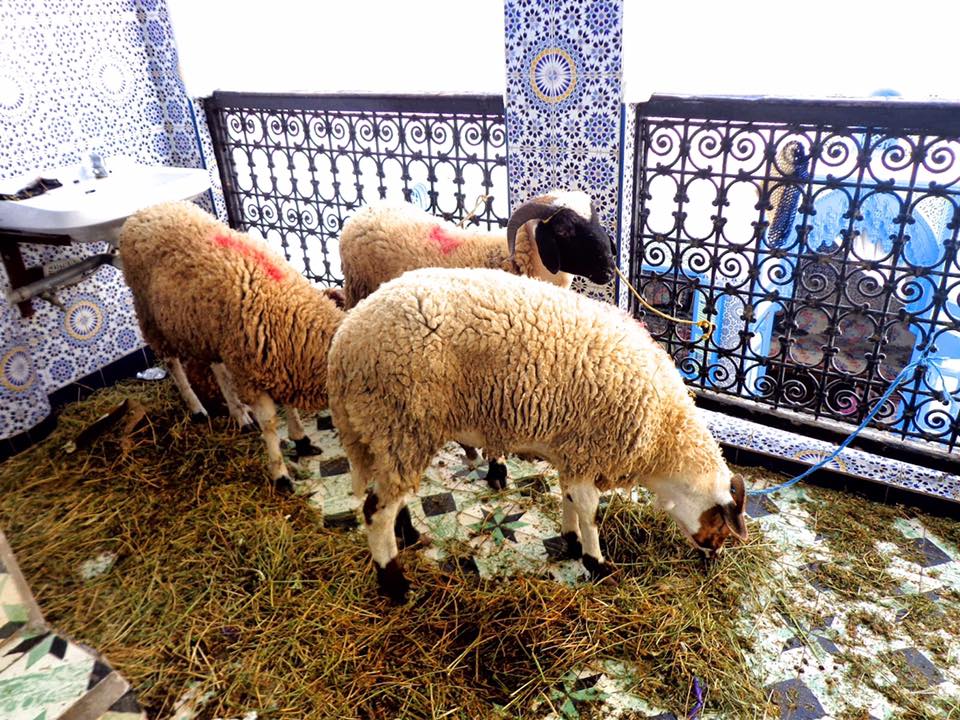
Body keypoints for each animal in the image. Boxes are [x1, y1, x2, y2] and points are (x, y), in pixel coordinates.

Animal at [119, 202, 344, 496]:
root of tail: (142, 212)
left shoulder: (279, 360)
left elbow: (288, 404)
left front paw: (301, 439)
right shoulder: (254, 372)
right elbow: (270, 423)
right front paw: (280, 475)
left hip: (210, 333)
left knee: (218, 369)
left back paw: (239, 414)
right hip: (149, 314)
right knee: (172, 363)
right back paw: (197, 409)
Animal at [330, 268, 752, 604]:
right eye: (721, 525)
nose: (713, 557)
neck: (663, 439)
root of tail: (344, 343)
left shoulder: (572, 451)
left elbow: (569, 498)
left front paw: (571, 540)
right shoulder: (588, 449)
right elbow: (589, 510)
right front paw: (597, 563)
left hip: (394, 433)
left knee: (392, 494)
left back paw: (410, 535)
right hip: (401, 420)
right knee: (375, 510)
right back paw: (394, 582)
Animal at [342, 190, 620, 490]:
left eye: (595, 218)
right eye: (563, 229)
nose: (609, 268)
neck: (512, 261)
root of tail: (369, 208)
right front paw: (497, 469)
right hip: (360, 294)